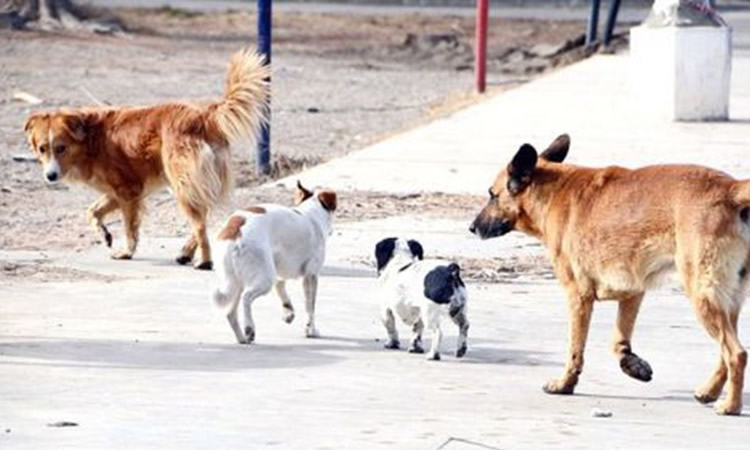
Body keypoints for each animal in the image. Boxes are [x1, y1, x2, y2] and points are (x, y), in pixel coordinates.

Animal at [23, 50, 270, 268]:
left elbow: (129, 228)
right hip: (194, 183)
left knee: (200, 224)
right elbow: (92, 211)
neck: (91, 140)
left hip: (182, 183)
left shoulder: (128, 192)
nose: (50, 176)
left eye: (61, 148)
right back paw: (186, 253)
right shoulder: (120, 192)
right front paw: (105, 235)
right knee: (204, 215)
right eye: (42, 149)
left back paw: (205, 261)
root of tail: (204, 116)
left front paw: (126, 252)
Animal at [213, 181, 340, 342]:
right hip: (265, 278)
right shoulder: (311, 275)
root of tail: (234, 229)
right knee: (246, 298)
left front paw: (288, 311)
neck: (312, 214)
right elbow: (310, 306)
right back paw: (249, 328)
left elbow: (281, 288)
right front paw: (311, 329)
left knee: (231, 313)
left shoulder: (281, 273)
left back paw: (241, 338)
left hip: (237, 282)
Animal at [472, 134, 748, 414]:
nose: (472, 227)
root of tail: (730, 188)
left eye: (492, 195)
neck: (551, 190)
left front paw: (565, 384)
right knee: (725, 352)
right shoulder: (632, 292)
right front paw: (632, 364)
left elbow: (575, 349)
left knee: (736, 353)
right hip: (727, 302)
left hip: (702, 295)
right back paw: (710, 391)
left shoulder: (578, 297)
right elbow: (618, 340)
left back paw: (731, 405)